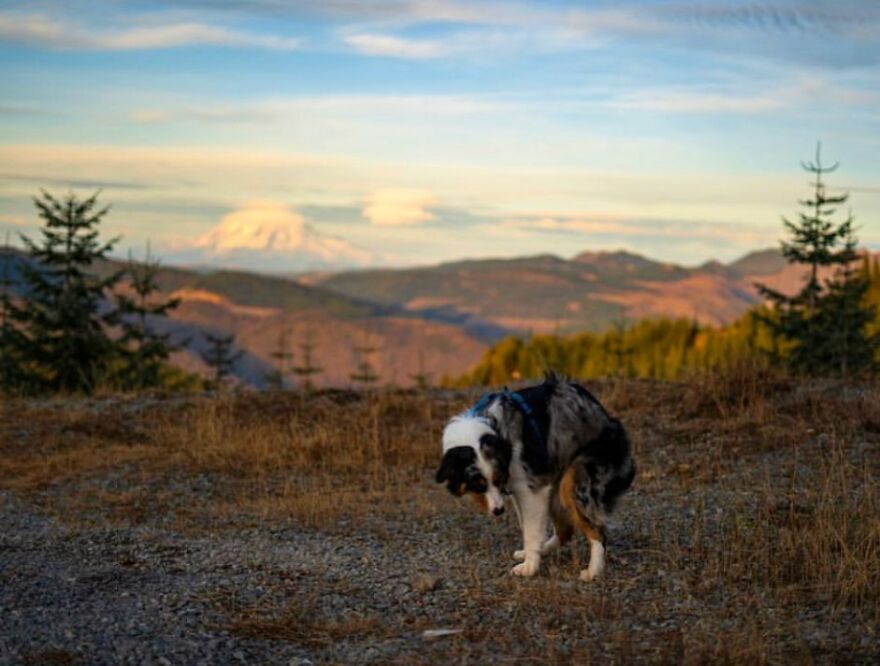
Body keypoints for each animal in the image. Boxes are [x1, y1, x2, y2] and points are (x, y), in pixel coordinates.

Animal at [436, 374, 636, 580]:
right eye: (478, 485)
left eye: (497, 480)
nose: (499, 511)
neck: (490, 428)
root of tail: (611, 421)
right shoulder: (519, 487)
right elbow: (527, 524)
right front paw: (532, 555)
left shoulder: (531, 488)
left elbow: (531, 530)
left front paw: (530, 567)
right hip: (557, 481)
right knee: (565, 530)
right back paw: (545, 549)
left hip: (576, 480)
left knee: (597, 532)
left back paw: (593, 571)